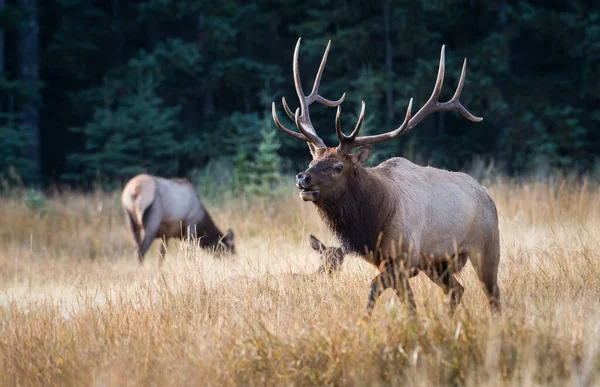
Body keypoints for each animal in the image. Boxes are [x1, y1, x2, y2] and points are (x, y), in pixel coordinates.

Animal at [272, 38, 502, 316]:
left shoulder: (405, 259)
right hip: (437, 264)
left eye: (338, 166)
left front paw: (365, 321)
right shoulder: (388, 263)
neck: (374, 221)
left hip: (487, 246)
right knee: (457, 289)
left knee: (493, 294)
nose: (302, 178)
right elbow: (409, 304)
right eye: (312, 161)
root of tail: (487, 195)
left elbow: (373, 289)